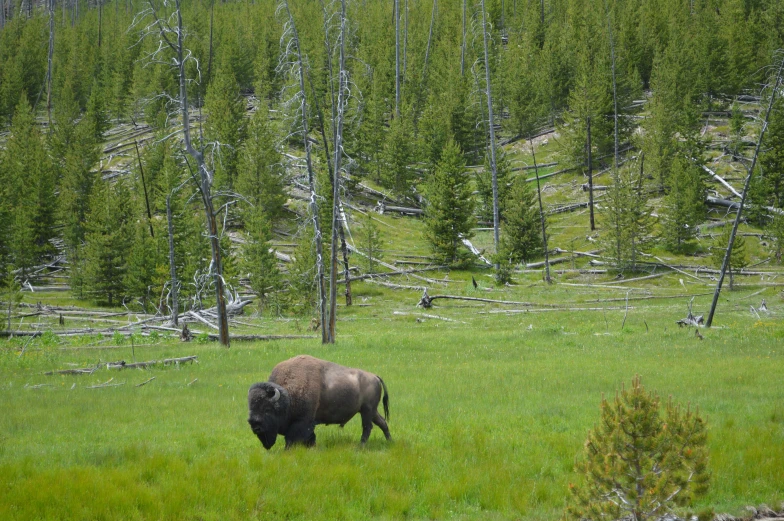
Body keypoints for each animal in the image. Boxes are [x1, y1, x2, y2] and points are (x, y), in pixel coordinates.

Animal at [247, 356, 390, 448]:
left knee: (367, 427)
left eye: (267, 409)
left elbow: (292, 439)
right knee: (382, 422)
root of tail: (375, 376)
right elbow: (310, 437)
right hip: (371, 411)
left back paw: (361, 446)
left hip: (367, 410)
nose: (255, 425)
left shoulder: (302, 422)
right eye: (251, 408)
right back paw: (390, 441)